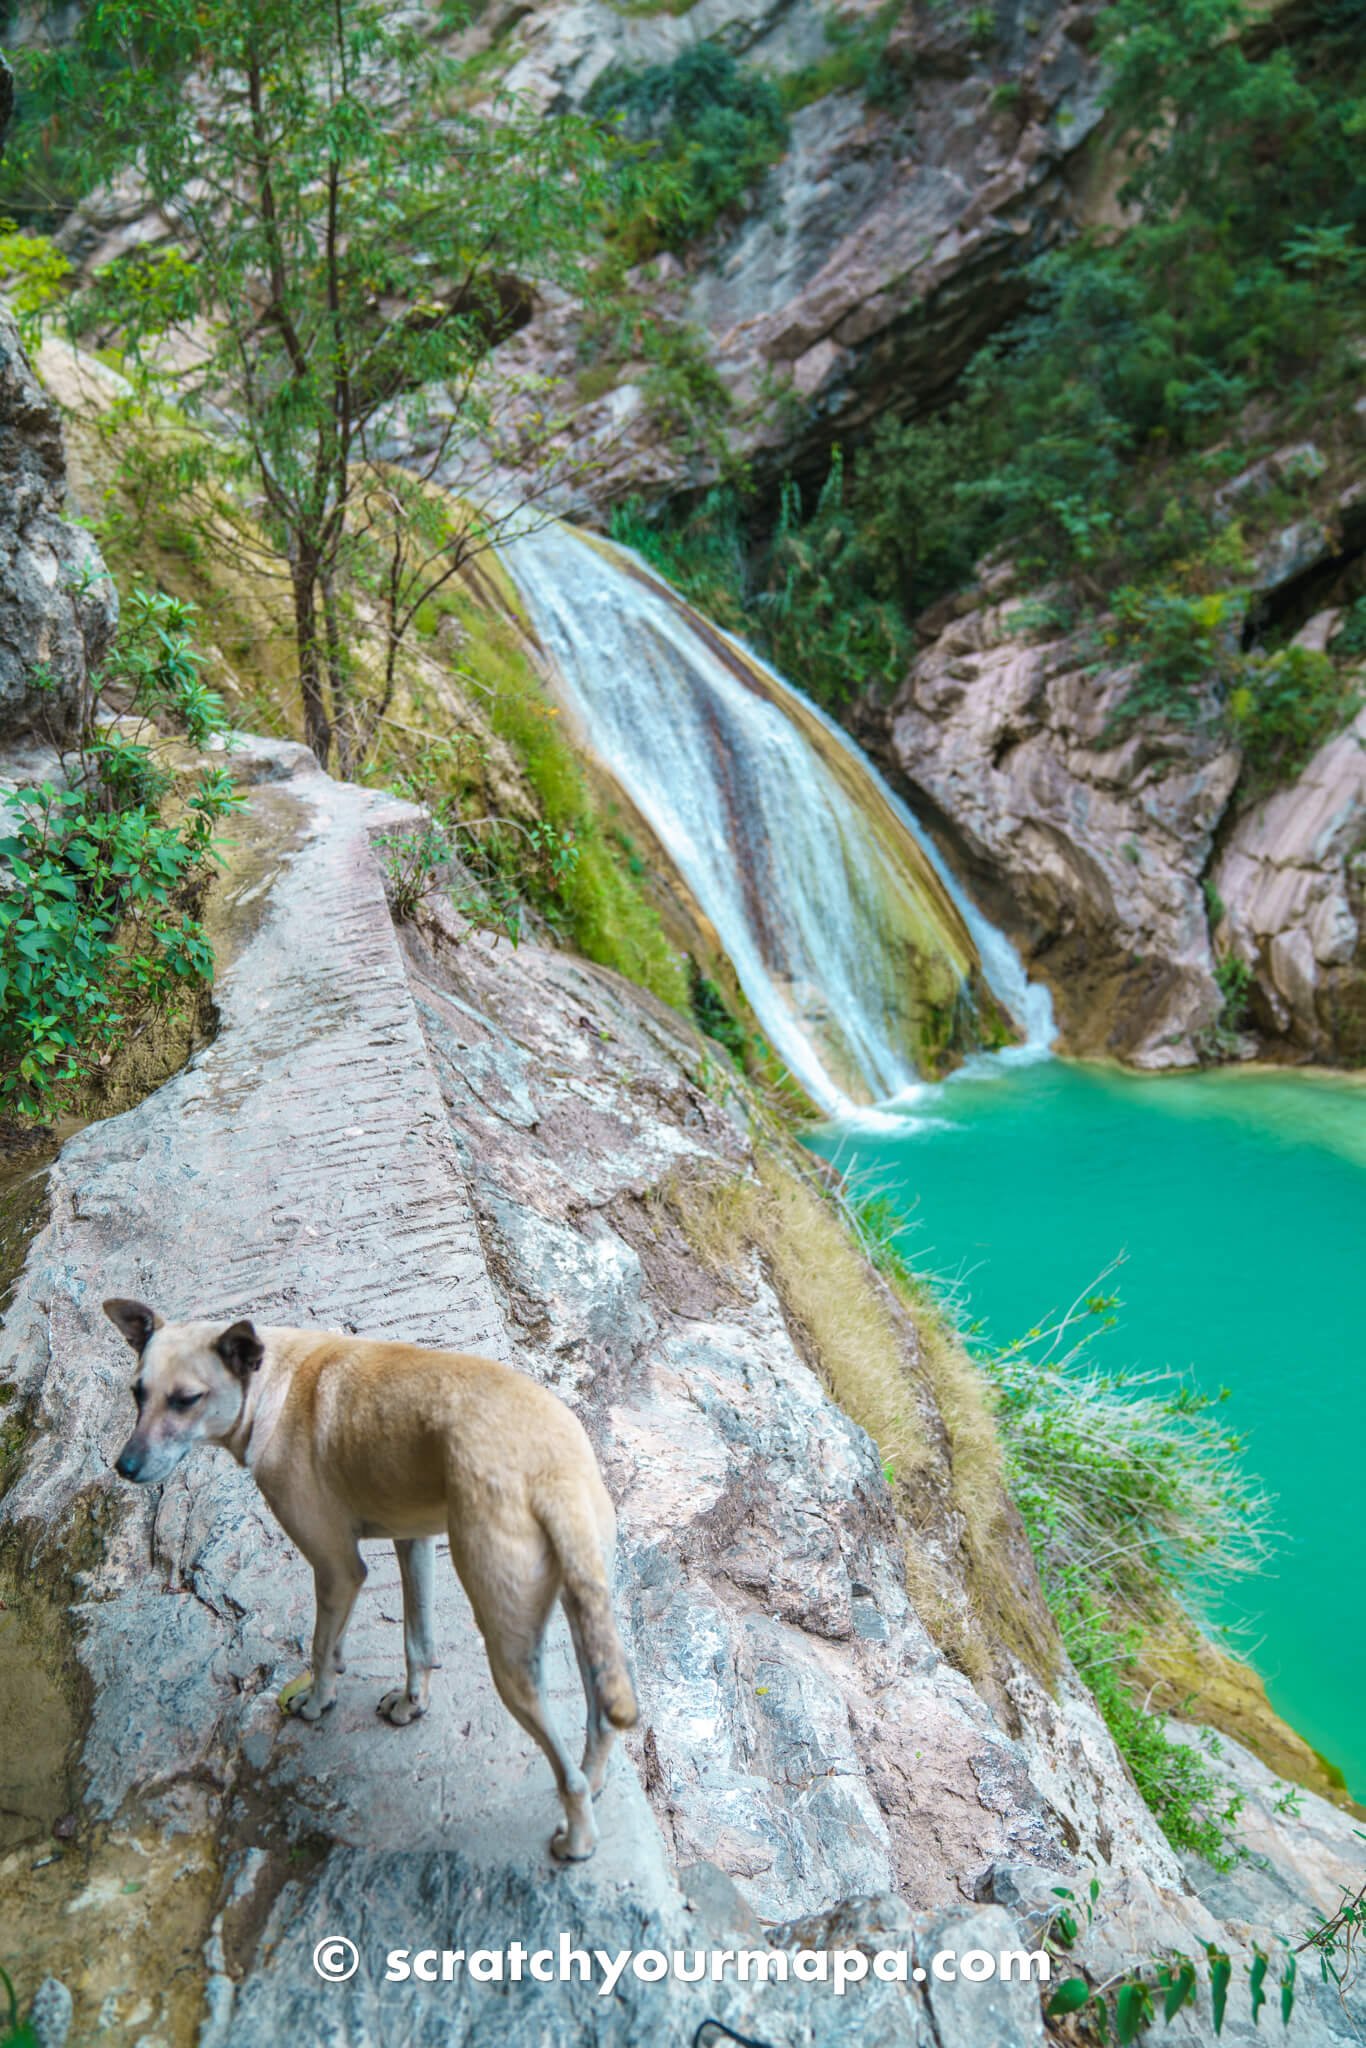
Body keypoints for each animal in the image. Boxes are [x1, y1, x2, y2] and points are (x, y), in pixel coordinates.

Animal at [104, 1302, 638, 1867]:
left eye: (186, 1400)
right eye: (137, 1392)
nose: (124, 1467)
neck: (273, 1380)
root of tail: (551, 1468)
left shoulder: (337, 1566)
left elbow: (320, 1647)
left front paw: (317, 1702)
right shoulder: (413, 1541)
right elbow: (416, 1642)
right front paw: (409, 1704)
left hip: (509, 1649)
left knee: (565, 1772)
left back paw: (577, 1838)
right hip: (585, 1615)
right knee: (599, 1723)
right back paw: (595, 1781)